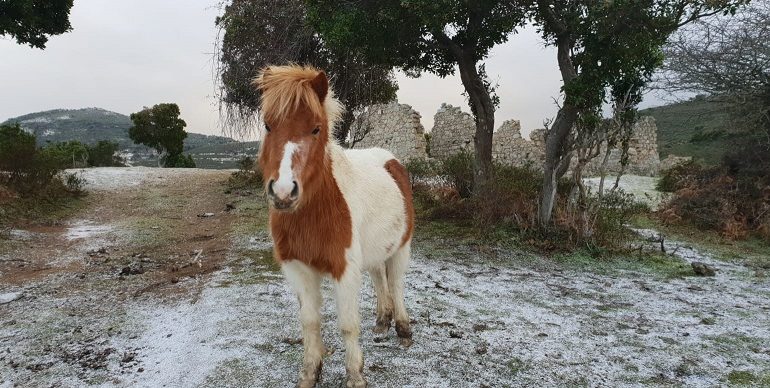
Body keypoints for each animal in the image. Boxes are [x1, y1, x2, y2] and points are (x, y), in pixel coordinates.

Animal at [255, 65, 414, 386]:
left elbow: (348, 324)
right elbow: (310, 322)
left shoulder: (345, 269)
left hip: (401, 247)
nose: (283, 192)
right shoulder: (298, 268)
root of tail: (392, 161)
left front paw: (355, 376)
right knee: (380, 279)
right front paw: (310, 373)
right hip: (375, 252)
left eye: (316, 129)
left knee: (397, 282)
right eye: (267, 125)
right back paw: (383, 320)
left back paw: (403, 328)